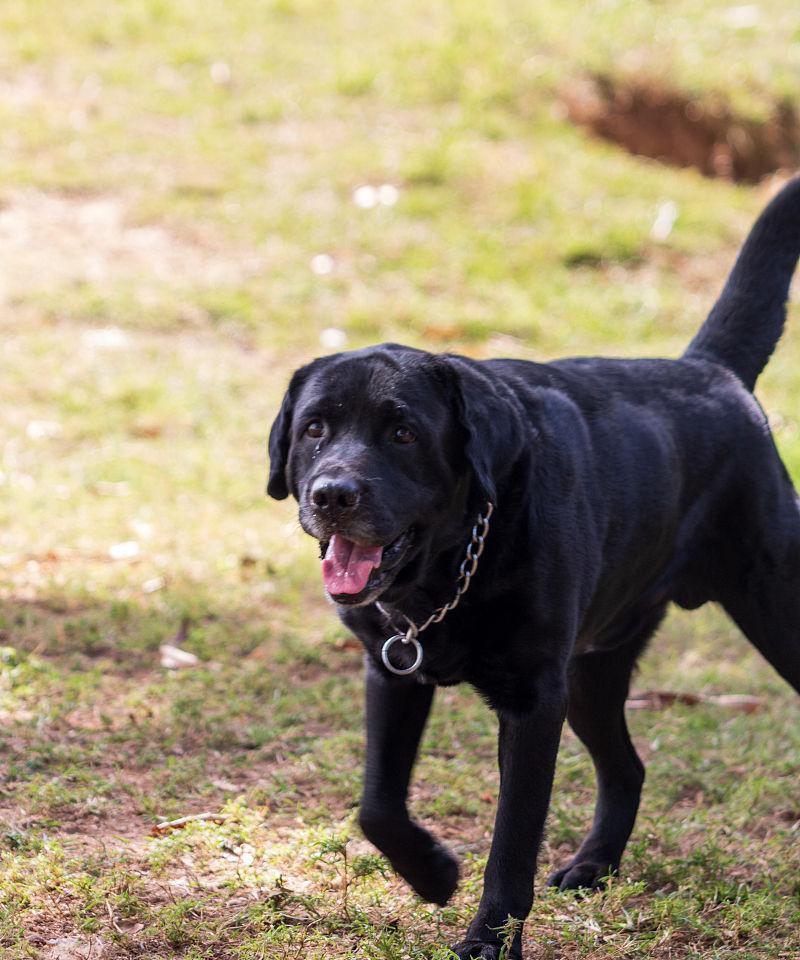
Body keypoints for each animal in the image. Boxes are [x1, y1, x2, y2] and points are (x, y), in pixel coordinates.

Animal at [268, 176, 800, 956]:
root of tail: (712, 370)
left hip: (770, 610)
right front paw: (433, 874)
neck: (452, 568)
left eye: (402, 433)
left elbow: (512, 843)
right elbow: (377, 805)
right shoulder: (391, 671)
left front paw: (487, 942)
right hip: (593, 669)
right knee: (628, 768)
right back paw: (592, 866)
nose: (332, 495)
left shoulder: (532, 702)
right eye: (315, 428)